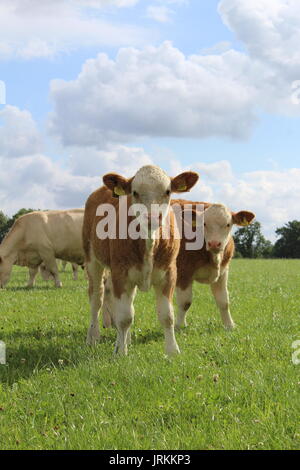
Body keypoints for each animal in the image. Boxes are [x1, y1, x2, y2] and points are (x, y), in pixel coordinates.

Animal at [82, 164, 199, 352]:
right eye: (135, 192)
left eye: (167, 191)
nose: (152, 217)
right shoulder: (120, 273)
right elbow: (124, 317)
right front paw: (120, 352)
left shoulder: (169, 273)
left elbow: (167, 316)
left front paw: (173, 351)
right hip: (92, 260)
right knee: (96, 299)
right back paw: (93, 337)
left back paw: (126, 339)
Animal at [175, 202, 254, 330]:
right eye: (204, 223)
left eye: (228, 224)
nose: (214, 243)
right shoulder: (183, 273)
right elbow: (185, 302)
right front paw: (178, 326)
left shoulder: (223, 273)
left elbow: (224, 301)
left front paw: (229, 325)